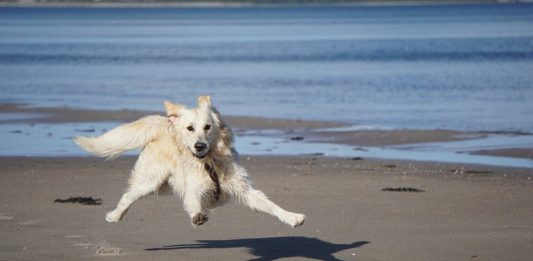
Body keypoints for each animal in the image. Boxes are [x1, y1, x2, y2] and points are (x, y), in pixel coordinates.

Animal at [76, 96, 308, 228]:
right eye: (190, 128)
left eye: (207, 127)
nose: (199, 146)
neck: (209, 163)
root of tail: (165, 123)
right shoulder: (193, 187)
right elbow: (194, 201)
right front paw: (198, 215)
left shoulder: (244, 189)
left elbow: (270, 205)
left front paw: (292, 217)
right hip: (150, 180)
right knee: (127, 196)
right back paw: (115, 216)